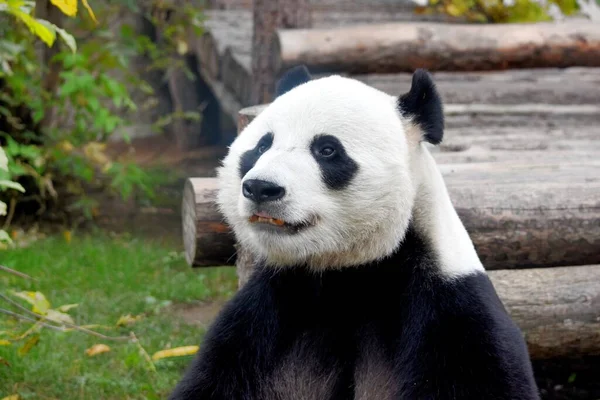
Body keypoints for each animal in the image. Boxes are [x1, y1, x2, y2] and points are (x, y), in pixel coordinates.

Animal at [171, 66, 540, 400]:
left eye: (327, 150)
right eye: (262, 146)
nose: (262, 188)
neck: (346, 274)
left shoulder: (453, 315)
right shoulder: (263, 320)